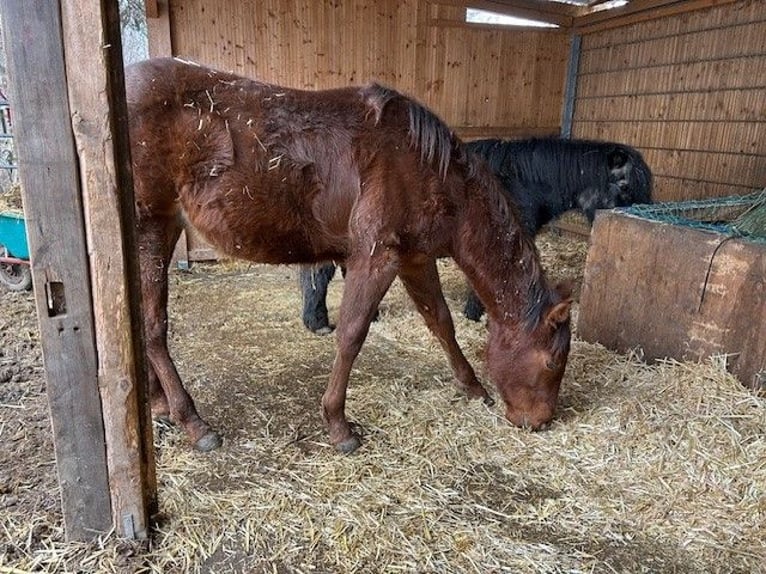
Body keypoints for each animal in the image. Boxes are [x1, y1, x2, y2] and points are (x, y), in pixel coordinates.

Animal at [126, 58, 573, 453]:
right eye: (552, 363)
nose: (539, 421)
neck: (429, 168)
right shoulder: (376, 256)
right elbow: (352, 334)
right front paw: (338, 425)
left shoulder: (414, 259)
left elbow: (441, 324)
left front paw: (473, 386)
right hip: (150, 227)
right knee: (153, 328)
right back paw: (192, 421)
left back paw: (161, 405)